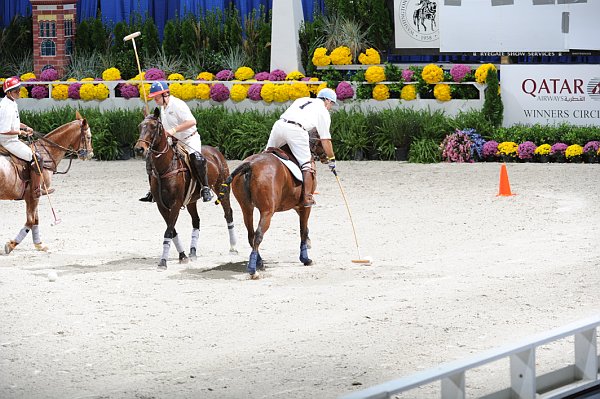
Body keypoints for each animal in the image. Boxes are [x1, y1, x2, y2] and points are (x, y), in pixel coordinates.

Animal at [0, 110, 92, 253]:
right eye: (88, 137)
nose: (90, 154)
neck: (47, 153)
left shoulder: (33, 196)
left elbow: (35, 220)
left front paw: (39, 244)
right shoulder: (34, 194)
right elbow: (31, 220)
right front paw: (11, 244)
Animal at [135, 108, 238, 270]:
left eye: (153, 126)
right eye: (140, 126)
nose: (139, 149)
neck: (165, 167)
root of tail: (215, 151)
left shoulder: (175, 204)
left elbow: (168, 231)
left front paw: (163, 261)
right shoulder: (161, 206)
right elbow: (172, 230)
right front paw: (183, 256)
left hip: (223, 189)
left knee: (228, 214)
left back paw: (233, 248)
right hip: (191, 201)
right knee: (196, 221)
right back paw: (193, 252)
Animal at [217, 130, 328, 280]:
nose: (327, 156)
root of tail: (250, 165)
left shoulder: (295, 204)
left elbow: (305, 229)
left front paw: (308, 244)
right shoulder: (305, 206)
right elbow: (303, 230)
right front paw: (306, 259)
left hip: (247, 208)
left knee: (251, 234)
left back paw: (259, 263)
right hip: (267, 211)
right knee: (258, 235)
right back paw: (253, 270)